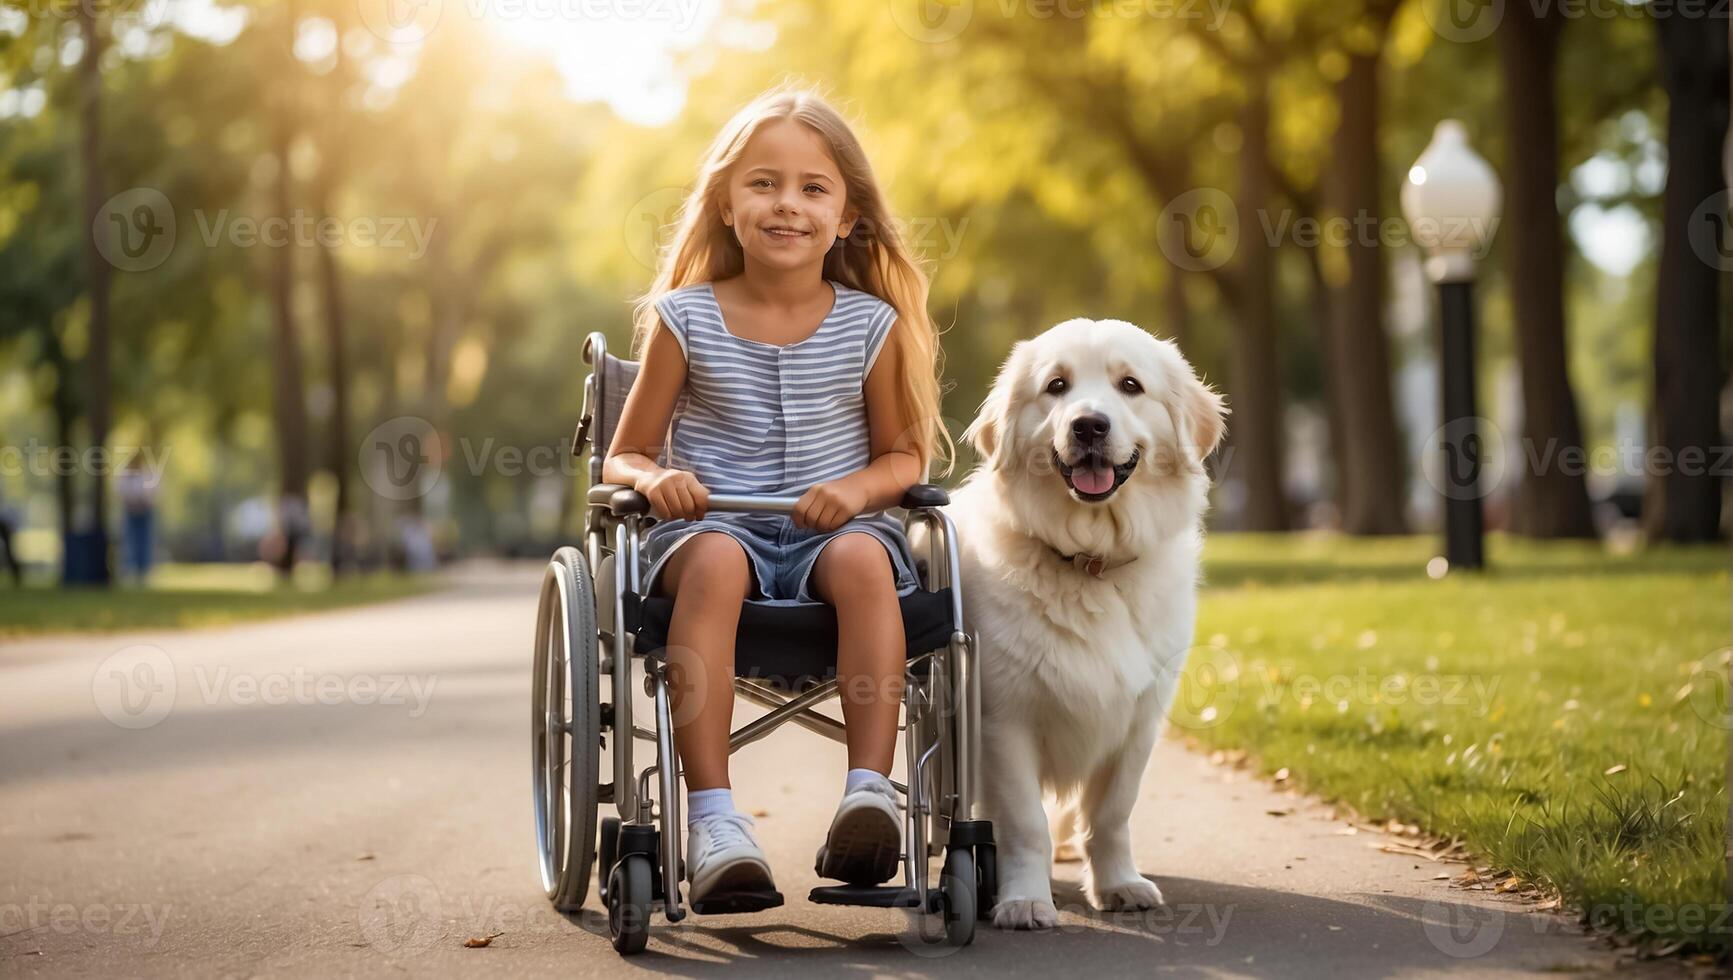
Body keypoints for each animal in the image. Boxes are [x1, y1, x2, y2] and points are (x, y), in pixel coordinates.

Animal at [935, 317, 1233, 929]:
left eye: (1130, 385)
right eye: (1056, 386)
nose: (1088, 425)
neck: (1090, 561)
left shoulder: (1139, 721)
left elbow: (1114, 812)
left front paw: (1118, 884)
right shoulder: (1004, 719)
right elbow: (1025, 823)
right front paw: (1024, 900)